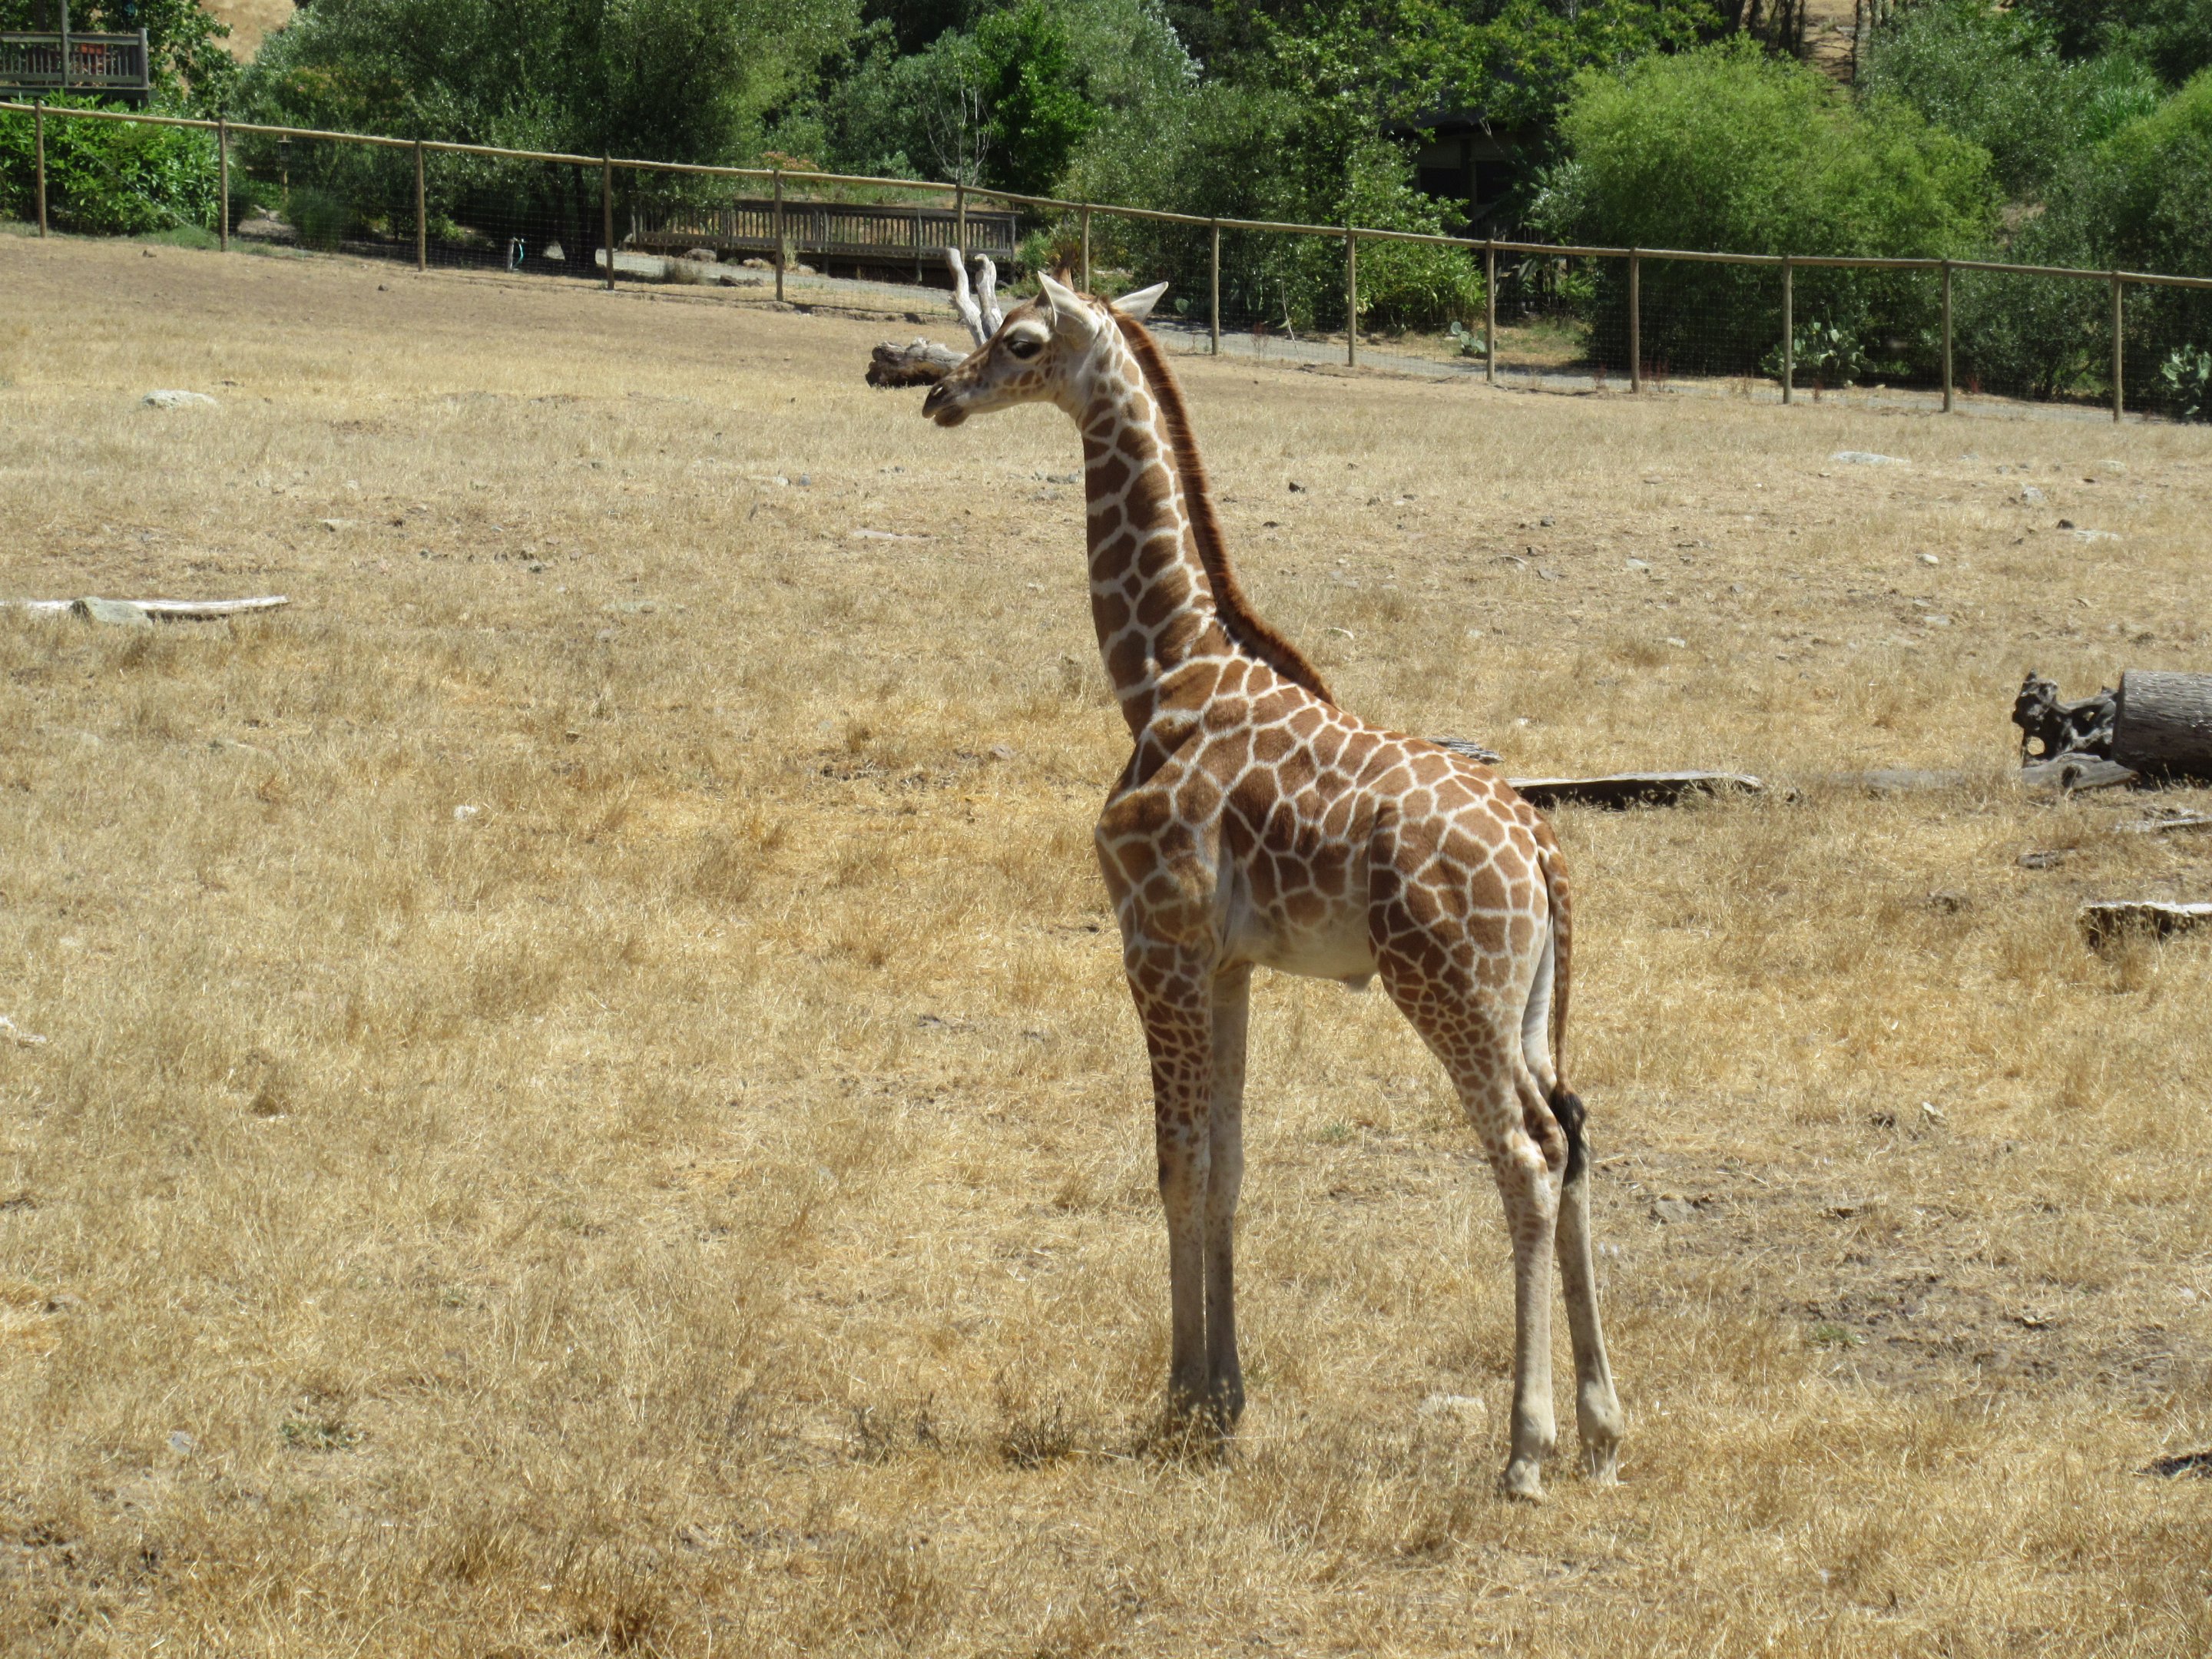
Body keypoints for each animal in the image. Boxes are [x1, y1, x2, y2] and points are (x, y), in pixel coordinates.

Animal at [919, 273, 1623, 1500]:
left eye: (1020, 340)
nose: (939, 394)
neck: (1159, 671)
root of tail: (1543, 849)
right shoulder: (1230, 962)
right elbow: (1230, 1165)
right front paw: (1226, 1401)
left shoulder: (1153, 942)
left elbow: (1176, 1163)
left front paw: (1178, 1399)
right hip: (1529, 1006)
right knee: (1575, 1132)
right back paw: (1603, 1431)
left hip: (1448, 990)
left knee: (1527, 1159)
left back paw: (1525, 1452)